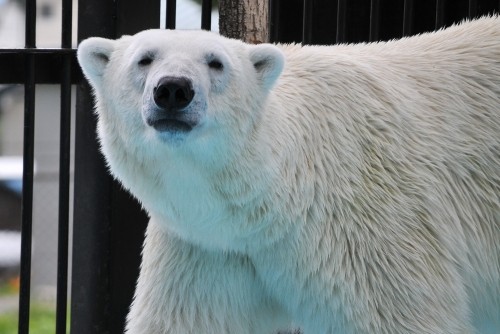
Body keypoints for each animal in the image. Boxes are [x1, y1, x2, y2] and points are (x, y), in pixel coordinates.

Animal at [76, 16, 498, 334]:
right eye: (144, 59)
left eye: (216, 62)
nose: (174, 90)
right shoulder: (209, 244)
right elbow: (187, 318)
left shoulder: (369, 229)